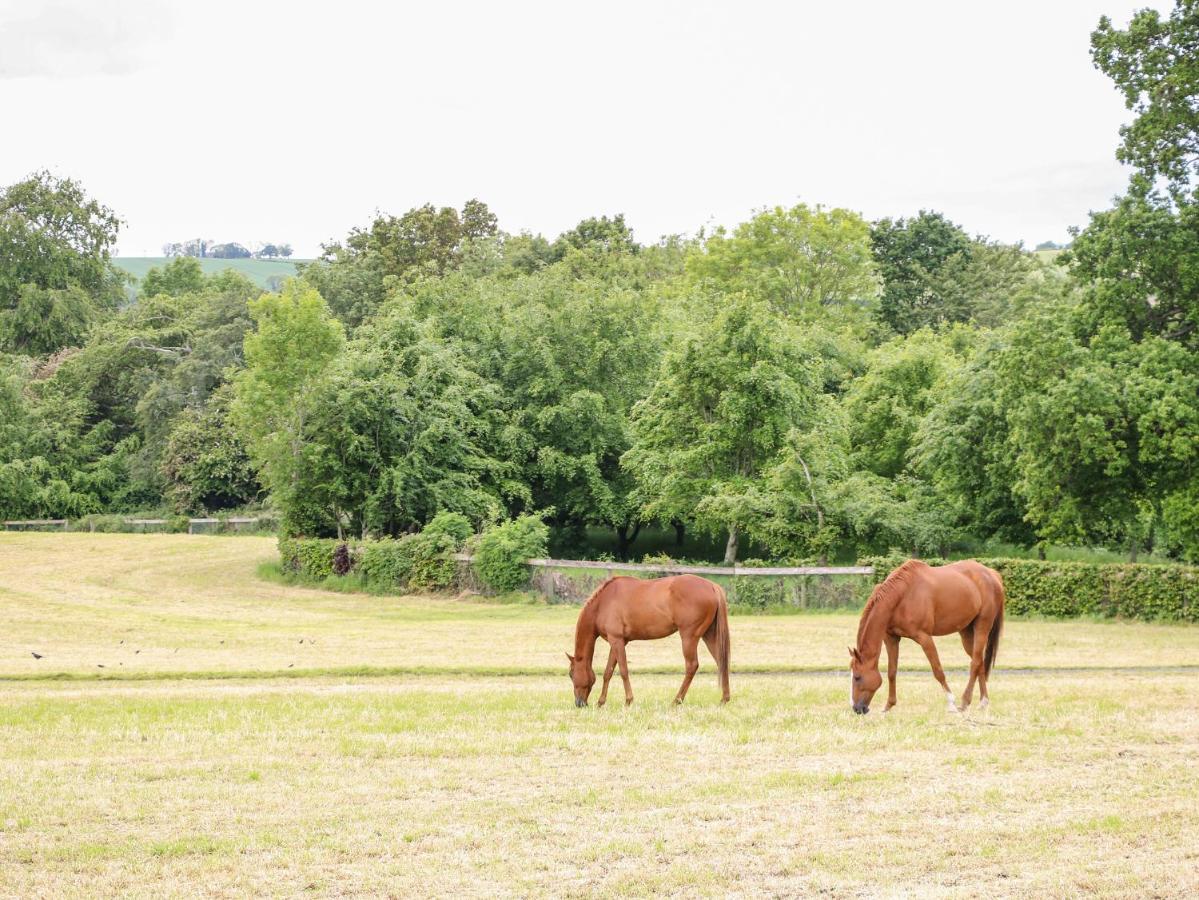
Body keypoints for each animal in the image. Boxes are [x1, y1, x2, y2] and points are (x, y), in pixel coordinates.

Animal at [563, 577, 728, 709]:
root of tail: (712, 586)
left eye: (571, 674)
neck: (603, 603)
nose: (579, 703)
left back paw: (676, 700)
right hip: (709, 636)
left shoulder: (616, 640)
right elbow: (608, 672)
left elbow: (623, 671)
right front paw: (601, 702)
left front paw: (628, 700)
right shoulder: (617, 642)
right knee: (721, 661)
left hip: (689, 637)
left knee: (692, 666)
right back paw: (724, 699)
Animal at [848, 560, 1007, 714]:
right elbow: (891, 672)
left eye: (857, 677)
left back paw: (965, 702)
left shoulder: (924, 638)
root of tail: (992, 574)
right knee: (979, 661)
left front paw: (951, 703)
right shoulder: (891, 639)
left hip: (982, 626)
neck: (902, 596)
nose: (857, 709)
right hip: (966, 632)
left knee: (975, 663)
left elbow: (938, 671)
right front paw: (888, 705)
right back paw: (983, 702)